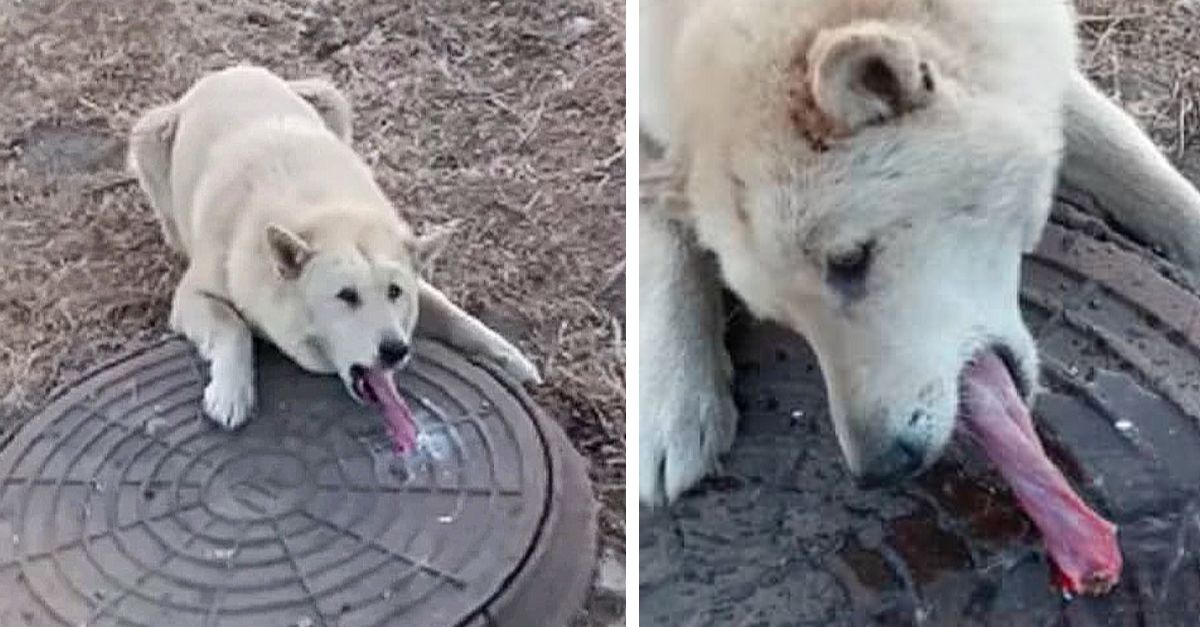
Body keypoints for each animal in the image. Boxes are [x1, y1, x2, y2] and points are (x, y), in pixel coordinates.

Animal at [129, 64, 537, 439]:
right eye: (346, 295)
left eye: (395, 292)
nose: (396, 350)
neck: (320, 211)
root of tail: (228, 71)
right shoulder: (192, 295)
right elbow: (234, 327)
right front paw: (231, 393)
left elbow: (457, 316)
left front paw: (510, 358)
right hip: (149, 135)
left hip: (331, 98)